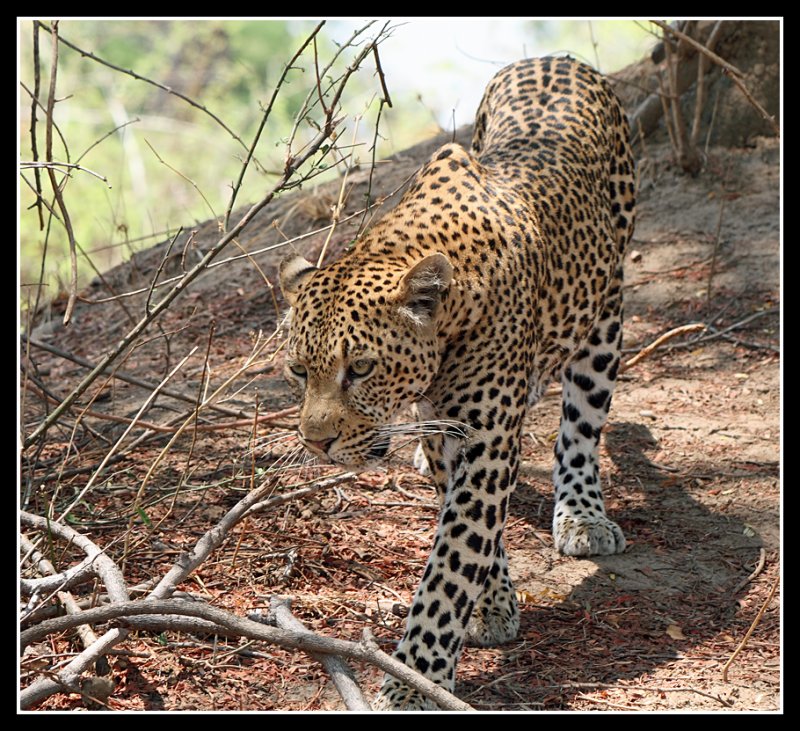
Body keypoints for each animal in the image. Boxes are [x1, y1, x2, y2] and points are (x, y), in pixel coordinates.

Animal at [278, 55, 636, 708]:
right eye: (299, 370)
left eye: (359, 368)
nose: (316, 444)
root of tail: (554, 58)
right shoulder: (451, 430)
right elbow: (472, 535)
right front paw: (493, 606)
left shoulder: (486, 437)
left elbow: (454, 558)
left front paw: (414, 677)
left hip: (604, 315)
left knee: (579, 430)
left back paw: (582, 515)